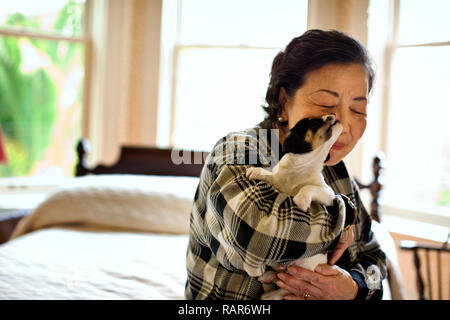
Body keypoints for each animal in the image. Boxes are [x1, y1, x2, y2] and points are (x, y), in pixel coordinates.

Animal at [244, 114, 342, 298]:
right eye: (316, 121)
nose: (334, 115)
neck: (302, 168)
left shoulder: (328, 195)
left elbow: (308, 187)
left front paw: (301, 200)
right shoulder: (278, 178)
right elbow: (271, 175)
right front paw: (257, 172)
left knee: (283, 286)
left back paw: (270, 291)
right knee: (277, 272)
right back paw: (268, 275)